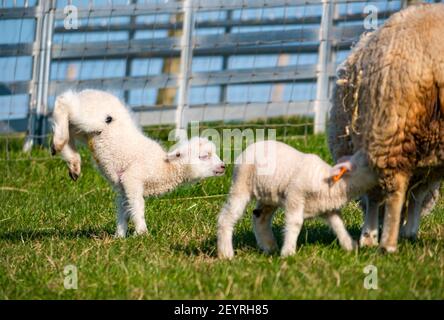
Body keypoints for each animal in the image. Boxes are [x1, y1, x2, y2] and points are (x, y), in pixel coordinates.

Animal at [52, 89, 225, 236]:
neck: (164, 168)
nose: (223, 166)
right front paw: (142, 232)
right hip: (89, 119)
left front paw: (119, 236)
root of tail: (88, 92)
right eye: (204, 156)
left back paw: (72, 162)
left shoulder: (123, 187)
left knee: (70, 127)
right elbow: (137, 205)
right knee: (63, 100)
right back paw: (58, 143)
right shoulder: (132, 178)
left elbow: (124, 210)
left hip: (83, 130)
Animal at [217, 141, 376, 258]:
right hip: (241, 185)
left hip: (268, 194)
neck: (329, 182)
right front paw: (288, 252)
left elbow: (338, 225)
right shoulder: (295, 196)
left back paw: (269, 247)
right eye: (366, 163)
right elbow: (295, 223)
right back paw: (226, 253)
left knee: (260, 218)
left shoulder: (328, 208)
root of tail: (251, 146)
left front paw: (350, 246)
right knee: (227, 216)